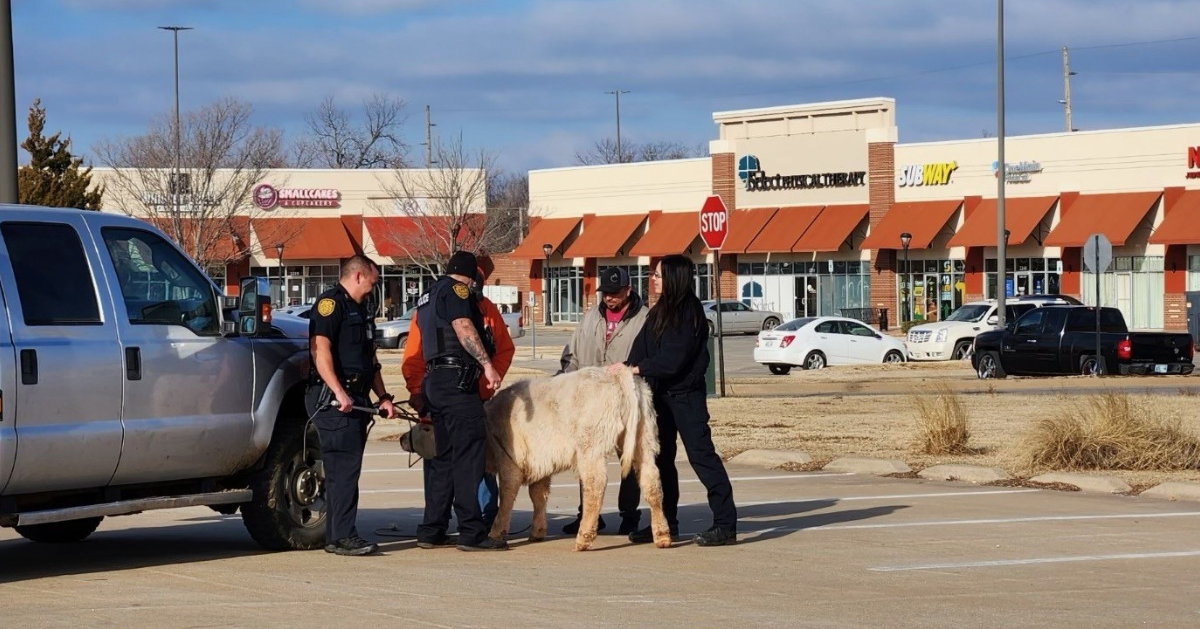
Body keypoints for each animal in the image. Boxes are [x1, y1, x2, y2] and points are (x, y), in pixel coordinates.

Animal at [487, 364, 676, 547]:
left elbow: (507, 495)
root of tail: (619, 373)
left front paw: (496, 533)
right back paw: (662, 536)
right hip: (644, 440)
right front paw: (537, 532)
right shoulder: (540, 462)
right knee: (651, 480)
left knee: (595, 483)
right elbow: (539, 496)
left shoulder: (509, 460)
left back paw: (583, 538)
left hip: (590, 447)